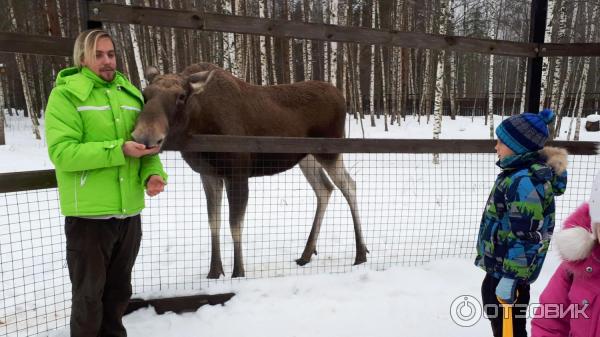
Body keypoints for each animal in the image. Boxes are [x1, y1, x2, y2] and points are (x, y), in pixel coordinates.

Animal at [134, 63, 368, 278]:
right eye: (145, 94)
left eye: (181, 96)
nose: (145, 136)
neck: (199, 126)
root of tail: (342, 97)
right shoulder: (208, 174)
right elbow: (213, 221)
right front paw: (214, 272)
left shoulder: (237, 172)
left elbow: (235, 223)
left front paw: (238, 272)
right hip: (308, 157)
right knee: (324, 188)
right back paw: (307, 254)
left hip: (331, 152)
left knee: (349, 185)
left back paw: (360, 253)